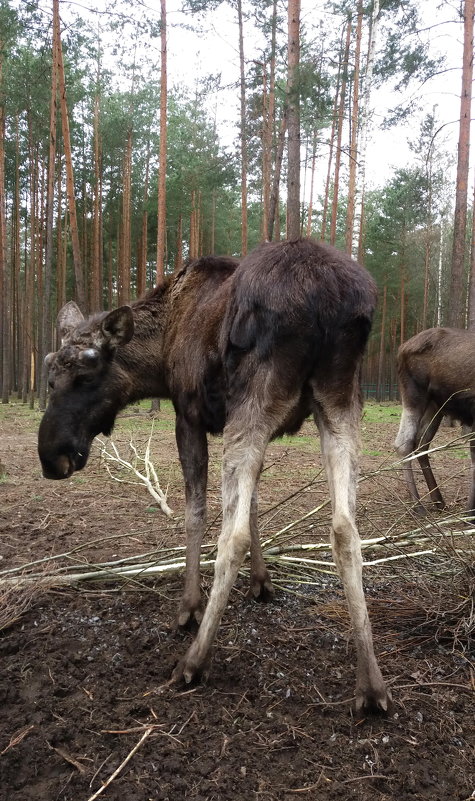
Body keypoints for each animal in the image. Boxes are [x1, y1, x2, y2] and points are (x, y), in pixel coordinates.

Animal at [39, 238, 390, 712]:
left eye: (87, 373)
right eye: (49, 371)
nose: (51, 456)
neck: (159, 353)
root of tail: (326, 296)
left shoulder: (188, 414)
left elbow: (196, 514)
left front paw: (188, 607)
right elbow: (257, 503)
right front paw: (261, 582)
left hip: (256, 399)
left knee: (232, 536)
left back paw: (194, 660)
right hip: (340, 402)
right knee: (345, 530)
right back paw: (371, 683)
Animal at [396, 326, 475, 520]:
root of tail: (402, 347)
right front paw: (469, 513)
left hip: (436, 405)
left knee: (421, 442)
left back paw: (438, 500)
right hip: (414, 395)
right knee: (404, 443)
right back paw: (417, 505)